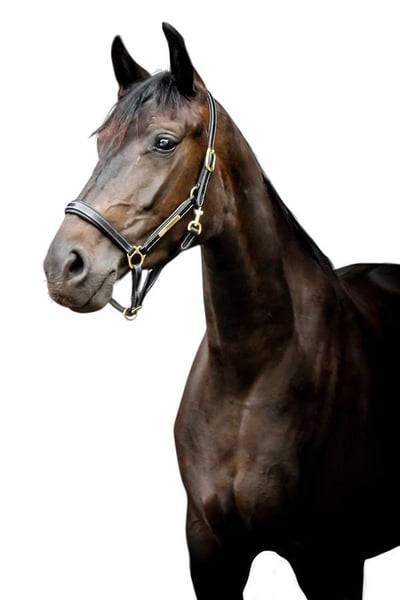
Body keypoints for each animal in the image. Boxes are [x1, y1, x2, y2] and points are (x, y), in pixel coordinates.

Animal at [43, 23, 400, 600]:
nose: (63, 266)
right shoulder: (210, 552)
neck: (251, 374)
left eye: (164, 142)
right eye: (101, 143)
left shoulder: (333, 563)